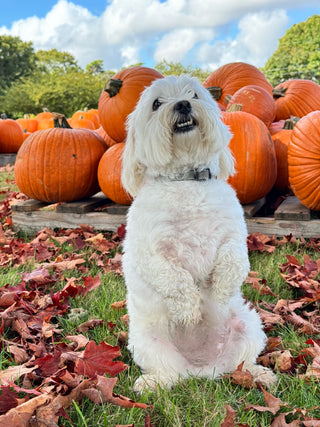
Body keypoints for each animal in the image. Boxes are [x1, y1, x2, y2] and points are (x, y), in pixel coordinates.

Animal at [120, 73, 276, 394]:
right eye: (156, 103)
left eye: (194, 94)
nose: (182, 104)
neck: (186, 180)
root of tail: (202, 369)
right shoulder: (148, 252)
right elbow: (175, 279)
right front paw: (190, 311)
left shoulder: (234, 233)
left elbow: (234, 259)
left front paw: (222, 289)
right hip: (147, 343)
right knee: (170, 375)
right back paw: (151, 383)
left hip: (249, 325)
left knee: (240, 364)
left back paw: (258, 375)